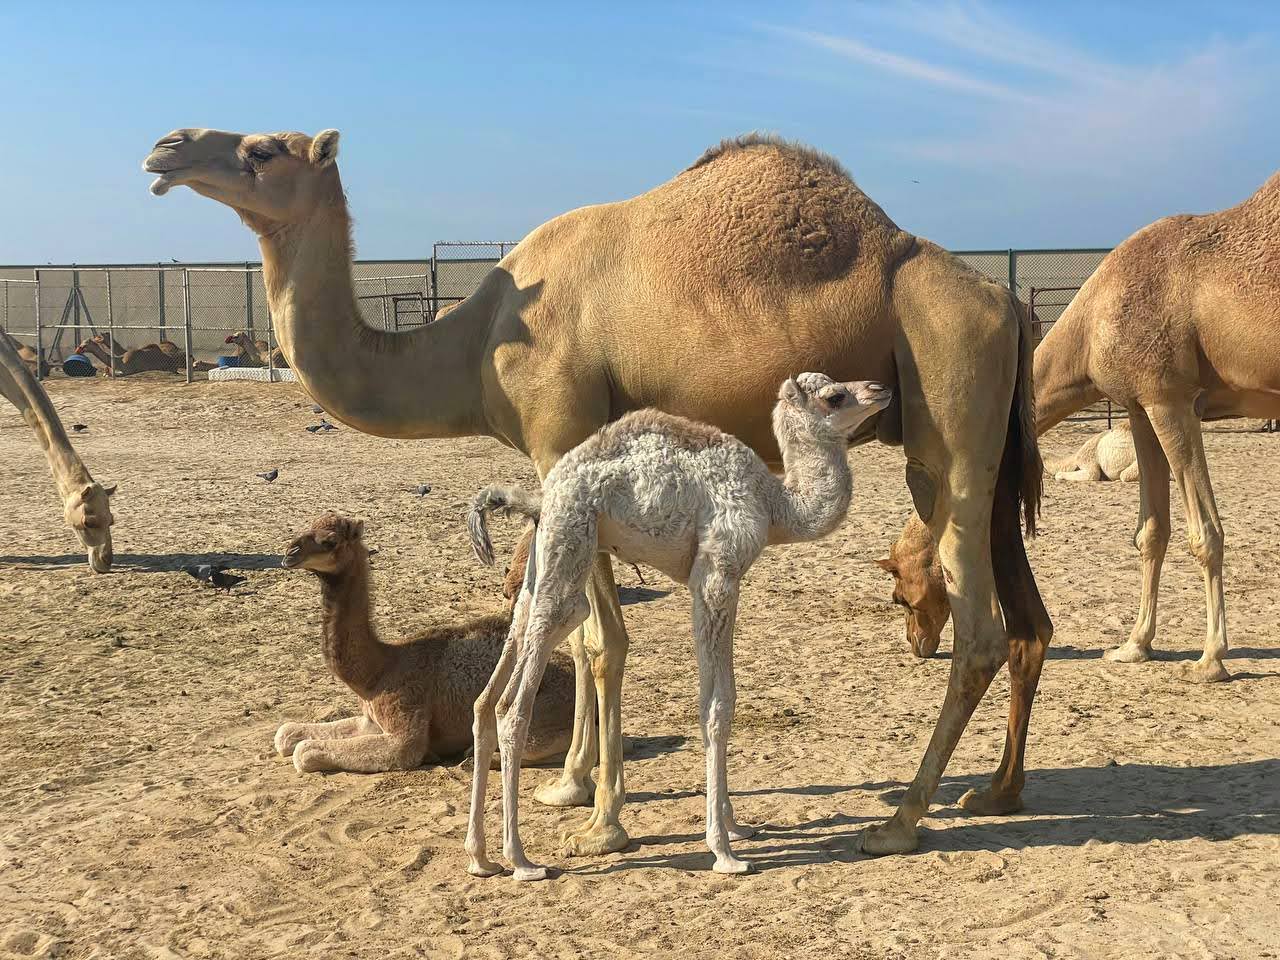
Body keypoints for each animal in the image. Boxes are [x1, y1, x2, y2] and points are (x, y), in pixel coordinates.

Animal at [275, 512, 576, 774]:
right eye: (308, 526)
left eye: (330, 541)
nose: (290, 553)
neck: (377, 672)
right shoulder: (370, 720)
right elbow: (285, 734)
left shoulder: (406, 730)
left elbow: (304, 751)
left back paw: (474, 757)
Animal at [465, 374, 892, 880]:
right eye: (834, 397)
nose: (879, 389)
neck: (774, 505)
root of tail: (545, 495)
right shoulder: (716, 574)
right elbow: (717, 705)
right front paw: (724, 852)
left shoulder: (712, 579)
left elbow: (716, 699)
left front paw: (737, 827)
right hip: (569, 552)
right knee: (514, 707)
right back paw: (522, 860)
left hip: (541, 564)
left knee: (487, 699)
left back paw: (480, 857)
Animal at [880, 170, 1280, 687]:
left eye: (899, 593)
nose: (917, 645)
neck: (1095, 321)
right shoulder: (1138, 405)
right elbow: (1151, 531)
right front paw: (1133, 646)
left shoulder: (1170, 398)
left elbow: (1205, 534)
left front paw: (1211, 659)